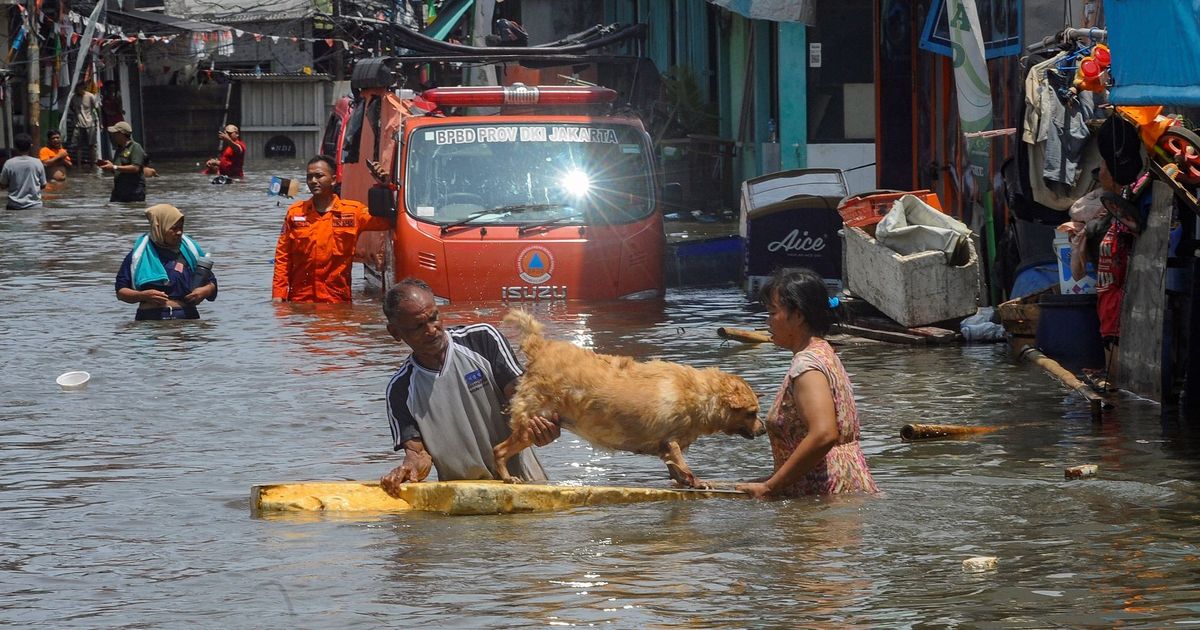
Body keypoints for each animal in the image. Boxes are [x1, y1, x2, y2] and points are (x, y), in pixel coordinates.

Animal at [494, 307, 758, 487]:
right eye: (752, 413)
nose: (762, 428)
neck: (700, 394)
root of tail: (540, 348)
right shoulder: (670, 439)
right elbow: (683, 463)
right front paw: (697, 480)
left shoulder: (666, 446)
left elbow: (675, 467)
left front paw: (685, 481)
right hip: (530, 424)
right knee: (499, 450)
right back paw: (507, 476)